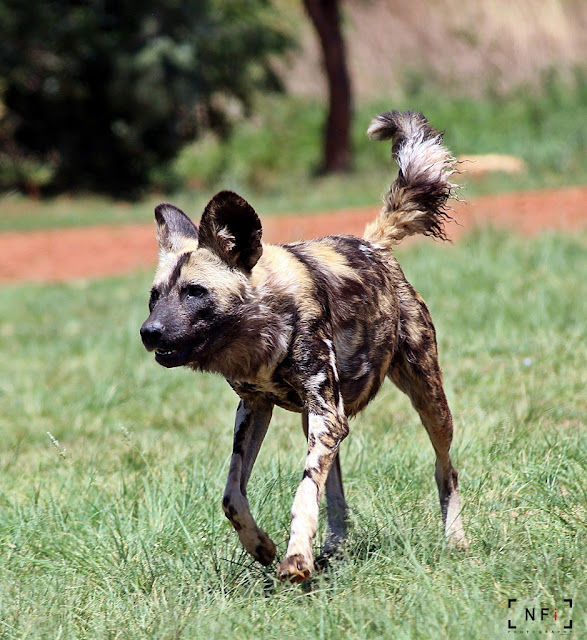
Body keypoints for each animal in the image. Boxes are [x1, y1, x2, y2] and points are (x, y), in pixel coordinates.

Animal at [141, 111, 468, 584]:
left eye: (194, 292)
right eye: (155, 297)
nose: (149, 332)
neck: (263, 327)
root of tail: (373, 243)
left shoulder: (324, 415)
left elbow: (302, 495)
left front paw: (295, 560)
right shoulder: (256, 409)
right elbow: (232, 495)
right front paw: (261, 546)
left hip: (427, 403)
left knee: (446, 469)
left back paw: (454, 539)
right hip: (318, 420)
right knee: (336, 493)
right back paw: (333, 547)